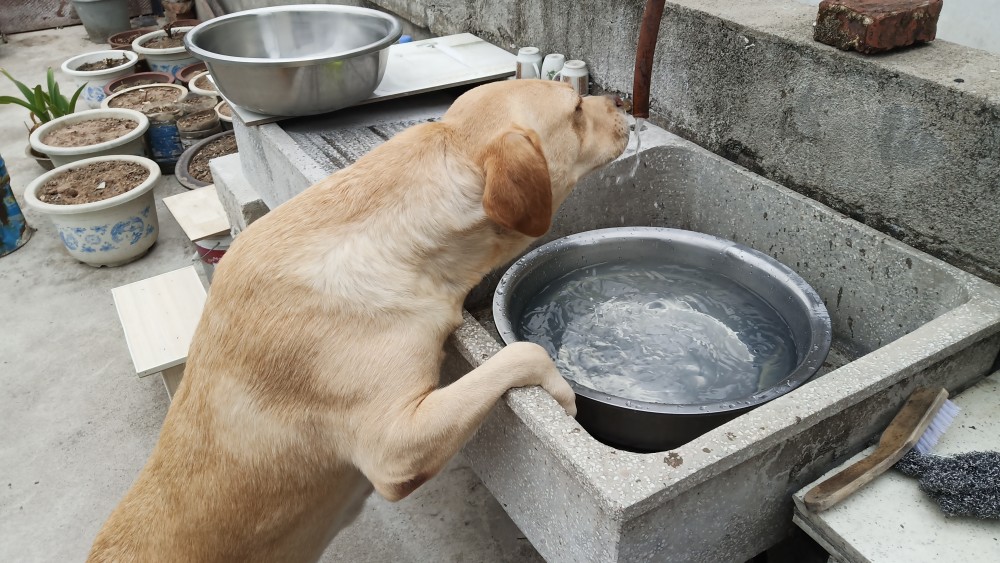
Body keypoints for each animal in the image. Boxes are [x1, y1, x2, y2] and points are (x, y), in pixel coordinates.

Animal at [90, 80, 628, 563]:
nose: (621, 102)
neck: (391, 235)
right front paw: (563, 396)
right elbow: (523, 352)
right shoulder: (394, 448)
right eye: (577, 108)